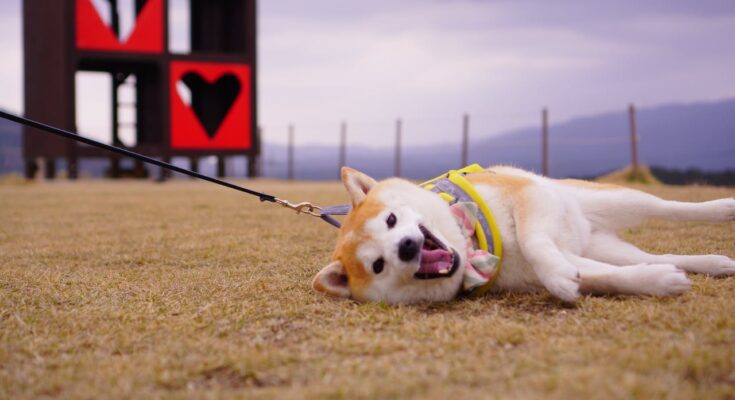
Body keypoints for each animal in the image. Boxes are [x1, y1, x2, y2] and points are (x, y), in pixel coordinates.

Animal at [312, 165, 735, 304]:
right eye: (378, 265)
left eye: (390, 220)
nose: (406, 246)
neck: (472, 243)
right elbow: (609, 277)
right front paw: (660, 283)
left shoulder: (528, 195)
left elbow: (533, 241)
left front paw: (559, 278)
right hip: (604, 245)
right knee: (654, 257)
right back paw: (713, 263)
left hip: (614, 199)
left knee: (668, 207)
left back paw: (724, 207)